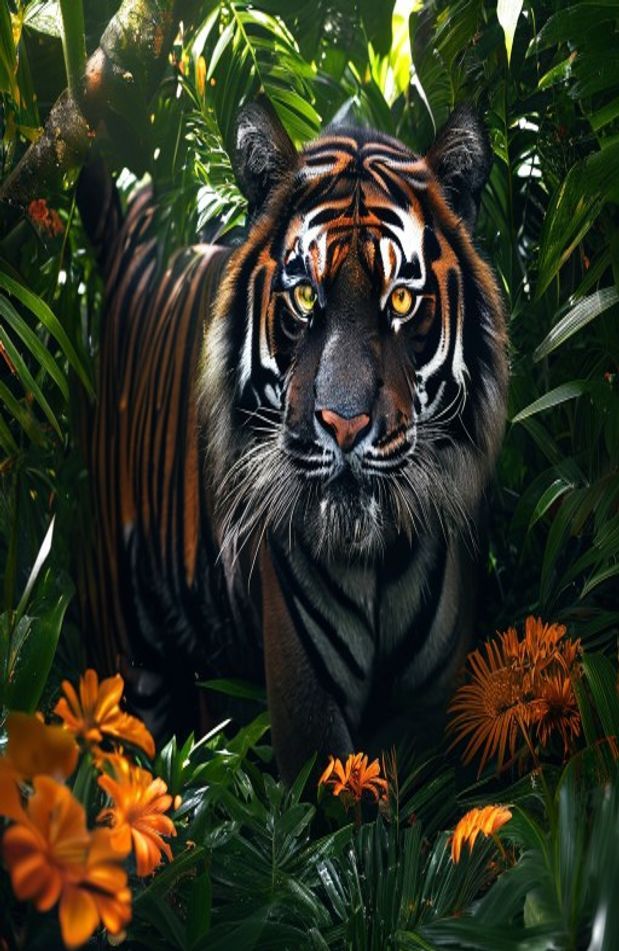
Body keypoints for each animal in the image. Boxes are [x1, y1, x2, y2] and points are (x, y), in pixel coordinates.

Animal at [77, 98, 507, 782]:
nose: (345, 423)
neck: (376, 560)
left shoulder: (431, 697)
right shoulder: (306, 697)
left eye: (402, 301)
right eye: (306, 295)